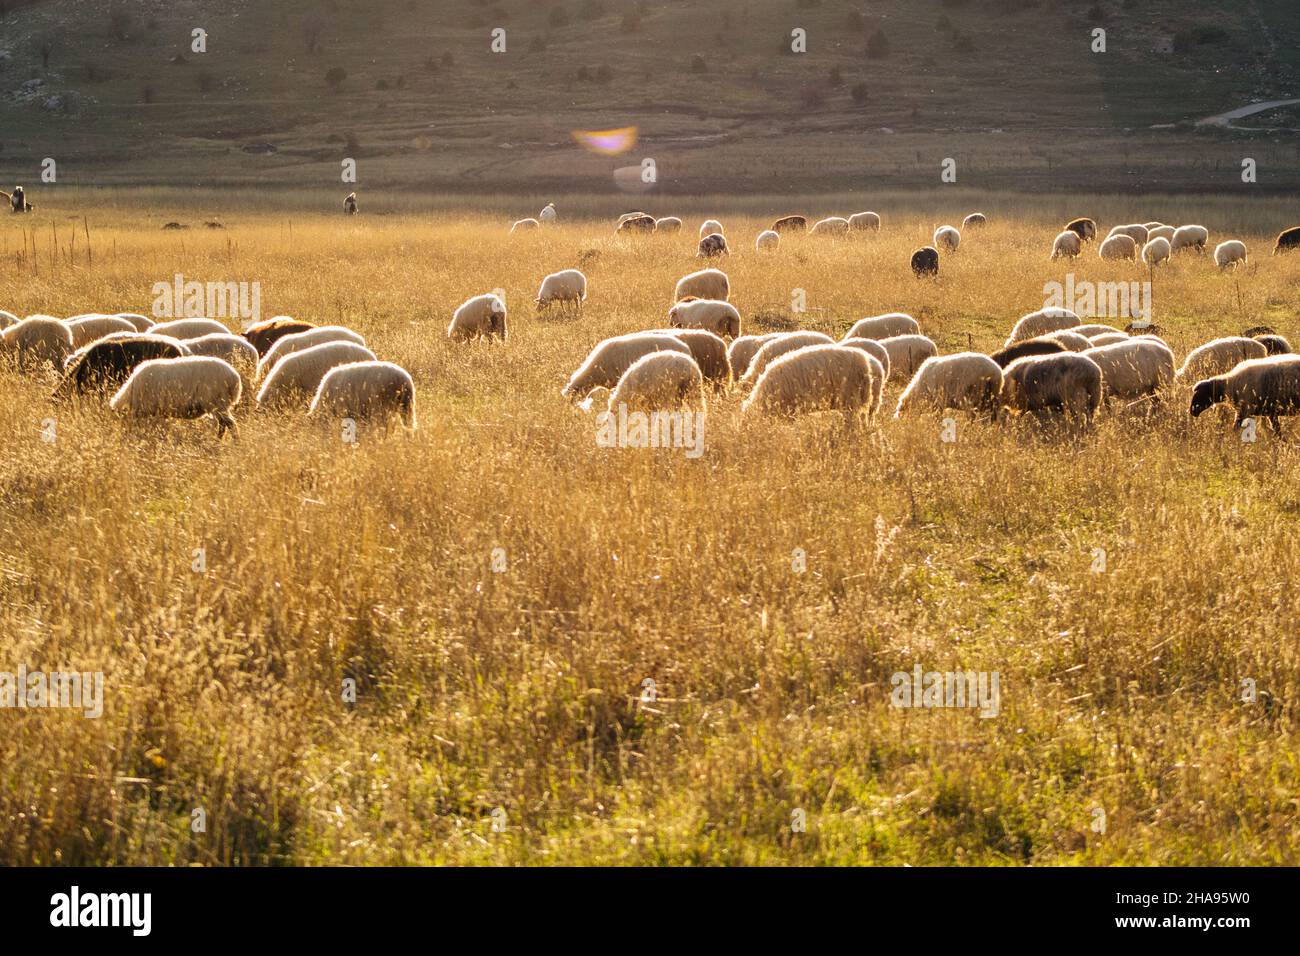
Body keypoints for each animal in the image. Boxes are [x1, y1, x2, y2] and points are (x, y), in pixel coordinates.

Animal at [110, 356, 242, 439]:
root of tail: (235, 378)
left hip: (217, 402)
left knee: (229, 424)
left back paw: (232, 442)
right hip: (220, 404)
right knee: (224, 424)